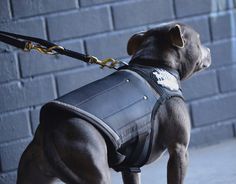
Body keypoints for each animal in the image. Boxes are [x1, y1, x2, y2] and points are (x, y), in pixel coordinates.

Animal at [17, 23, 212, 184]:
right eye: (199, 40)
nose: (209, 49)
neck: (155, 64)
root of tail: (49, 130)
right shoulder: (179, 150)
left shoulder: (130, 166)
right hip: (96, 172)